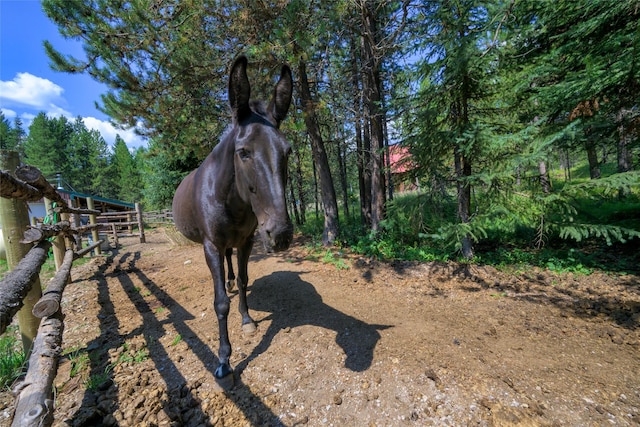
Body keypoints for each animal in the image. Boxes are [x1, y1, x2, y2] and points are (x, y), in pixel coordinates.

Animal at [175, 56, 296, 382]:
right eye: (243, 152)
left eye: (287, 150)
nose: (280, 233)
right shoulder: (211, 246)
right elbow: (220, 303)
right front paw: (224, 359)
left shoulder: (246, 241)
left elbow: (243, 280)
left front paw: (247, 319)